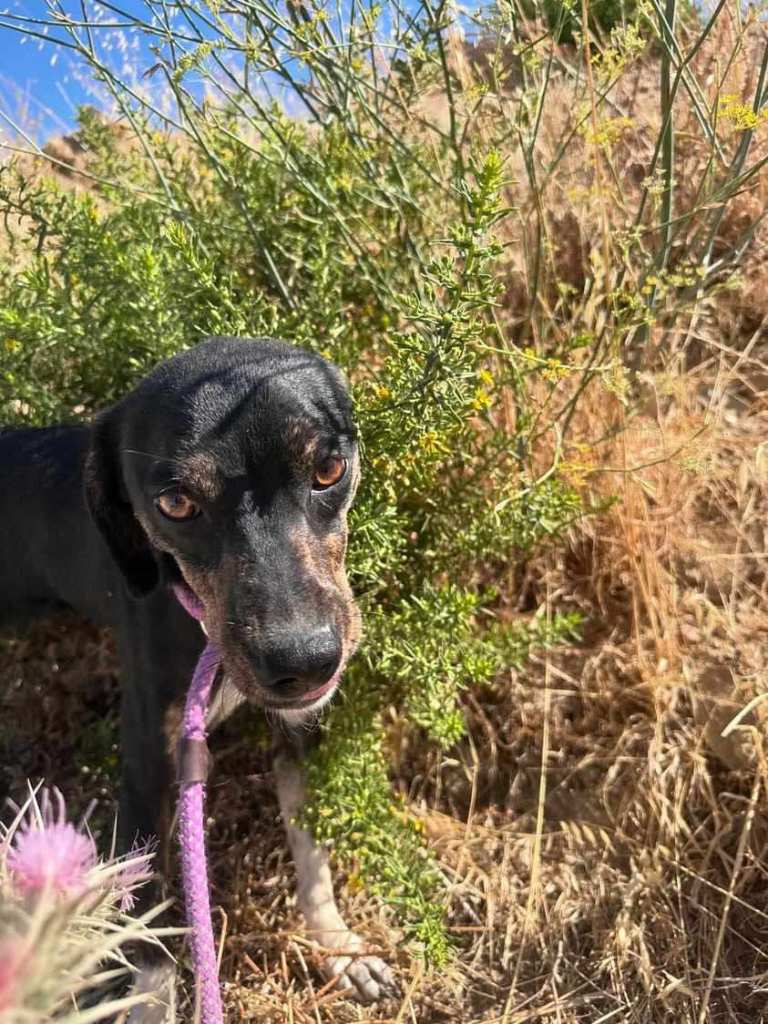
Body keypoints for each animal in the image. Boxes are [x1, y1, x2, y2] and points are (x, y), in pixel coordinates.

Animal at [0, 336, 396, 1019]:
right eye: (176, 504)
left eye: (328, 469)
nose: (303, 662)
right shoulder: (146, 773)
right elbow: (150, 927)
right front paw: (153, 1004)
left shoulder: (299, 731)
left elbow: (312, 853)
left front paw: (340, 947)